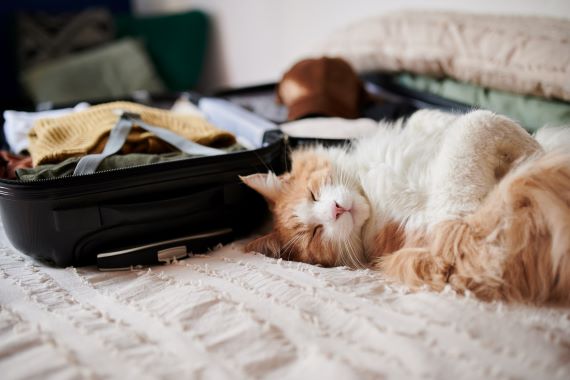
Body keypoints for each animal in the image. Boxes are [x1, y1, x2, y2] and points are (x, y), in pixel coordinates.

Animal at [240, 108, 568, 304]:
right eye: (315, 233)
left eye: (312, 194)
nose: (336, 210)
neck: (370, 192)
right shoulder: (457, 241)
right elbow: (476, 125)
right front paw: (538, 153)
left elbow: (435, 118)